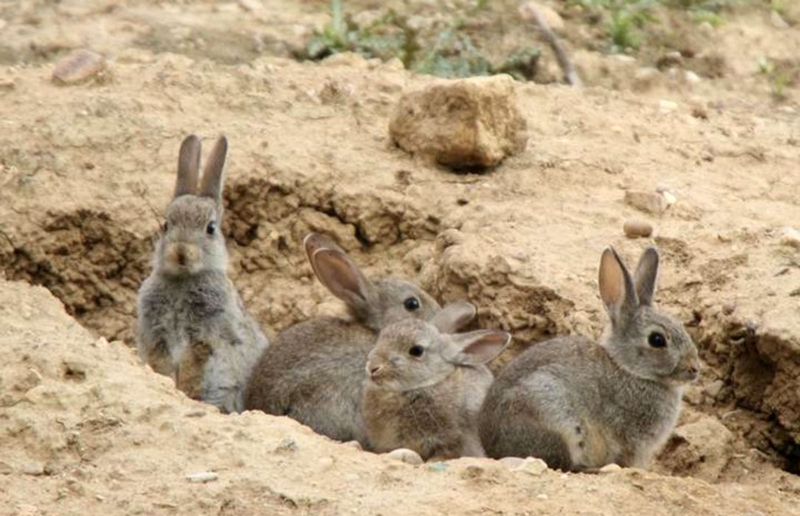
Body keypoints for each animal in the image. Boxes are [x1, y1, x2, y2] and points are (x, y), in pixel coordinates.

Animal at [136, 134, 270, 416]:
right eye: (166, 225)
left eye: (210, 228)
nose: (181, 252)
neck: (183, 280)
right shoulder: (157, 335)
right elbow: (161, 363)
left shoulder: (205, 335)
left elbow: (193, 365)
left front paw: (186, 390)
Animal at [478, 246, 696, 472]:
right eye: (657, 339)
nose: (694, 369)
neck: (627, 368)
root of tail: (493, 449)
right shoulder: (628, 440)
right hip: (555, 417)